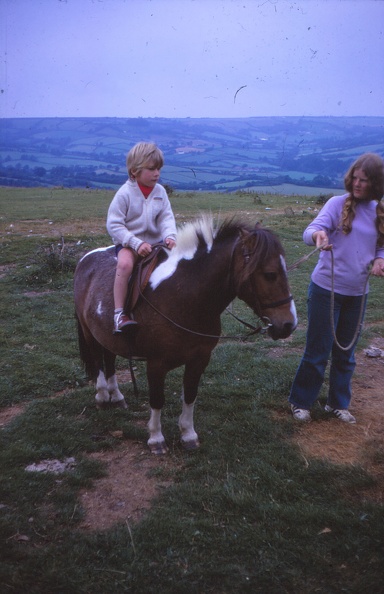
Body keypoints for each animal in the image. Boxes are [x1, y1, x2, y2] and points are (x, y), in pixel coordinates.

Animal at [74, 215, 296, 450]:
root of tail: (86, 258)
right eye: (270, 274)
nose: (289, 324)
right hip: (89, 333)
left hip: (107, 335)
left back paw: (116, 396)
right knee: (98, 361)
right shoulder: (156, 364)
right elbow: (157, 399)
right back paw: (101, 396)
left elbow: (190, 395)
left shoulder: (199, 359)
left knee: (109, 359)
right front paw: (156, 438)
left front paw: (188, 434)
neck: (184, 297)